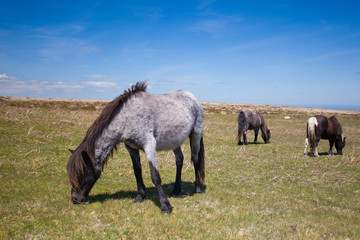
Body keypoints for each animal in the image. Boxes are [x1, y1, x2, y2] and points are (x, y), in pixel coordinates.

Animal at [66, 81, 204, 213]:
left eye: (81, 174)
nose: (75, 199)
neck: (128, 117)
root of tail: (192, 97)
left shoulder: (149, 146)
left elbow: (155, 176)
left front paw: (165, 206)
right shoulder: (131, 148)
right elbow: (137, 171)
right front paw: (140, 196)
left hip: (195, 135)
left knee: (195, 160)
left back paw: (197, 188)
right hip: (174, 141)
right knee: (179, 161)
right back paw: (176, 190)